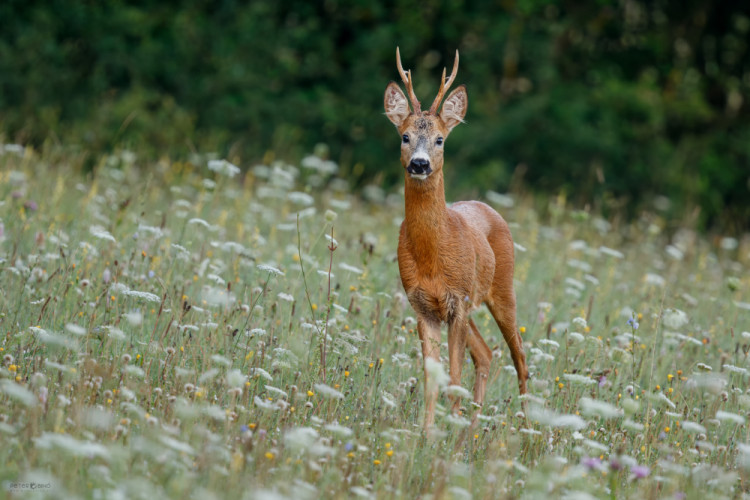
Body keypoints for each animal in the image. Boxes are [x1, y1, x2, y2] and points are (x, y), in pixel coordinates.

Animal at [388, 47, 528, 430]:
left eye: (440, 139)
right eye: (404, 136)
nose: (420, 164)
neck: (432, 257)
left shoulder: (458, 301)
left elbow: (452, 376)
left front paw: (443, 433)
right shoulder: (423, 305)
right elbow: (432, 378)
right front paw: (427, 432)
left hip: (502, 289)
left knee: (519, 355)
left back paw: (528, 427)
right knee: (485, 353)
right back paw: (472, 427)